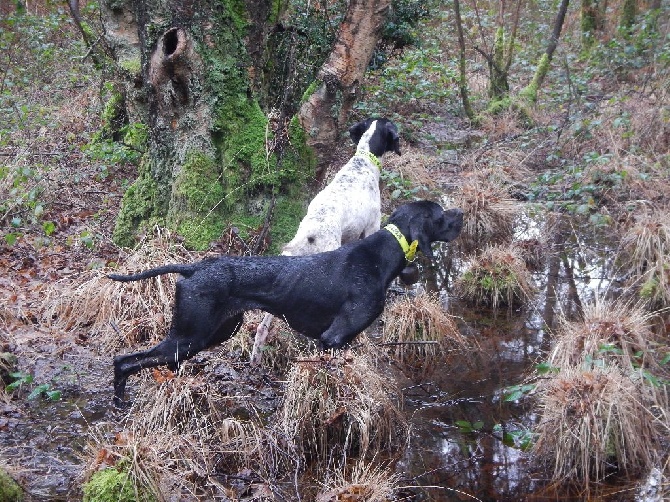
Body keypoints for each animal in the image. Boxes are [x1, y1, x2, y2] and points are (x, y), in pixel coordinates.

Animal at [110, 200, 464, 404]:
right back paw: (119, 402)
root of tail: (194, 267)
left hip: (216, 332)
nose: (460, 212)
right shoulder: (332, 338)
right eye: (440, 214)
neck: (380, 257)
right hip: (189, 336)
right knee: (123, 360)